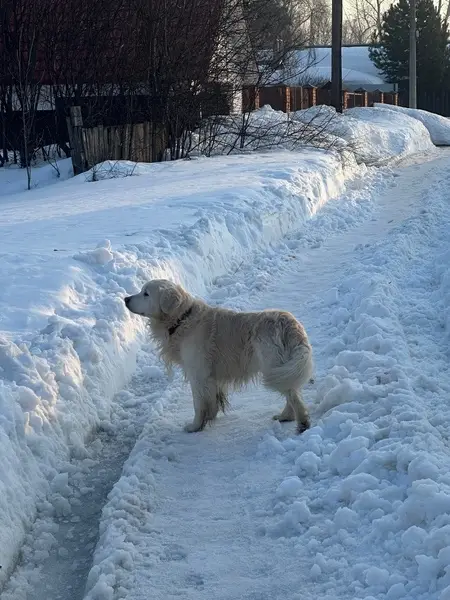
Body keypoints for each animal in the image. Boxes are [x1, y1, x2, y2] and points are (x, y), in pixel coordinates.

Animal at [125, 279, 314, 434]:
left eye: (146, 293)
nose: (126, 299)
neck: (182, 319)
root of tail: (291, 324)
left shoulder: (198, 374)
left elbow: (198, 403)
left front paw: (195, 426)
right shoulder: (211, 376)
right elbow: (213, 399)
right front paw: (210, 417)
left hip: (274, 366)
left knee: (293, 396)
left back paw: (302, 424)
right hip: (283, 368)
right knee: (292, 391)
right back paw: (286, 417)